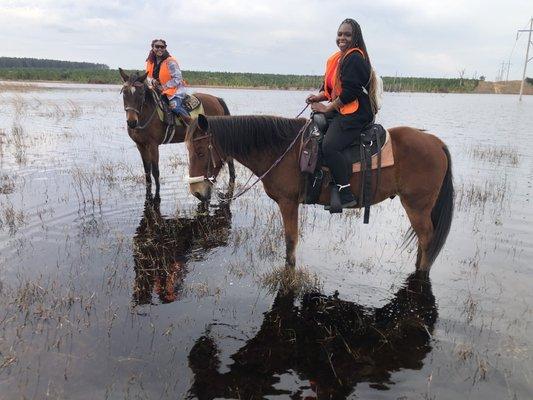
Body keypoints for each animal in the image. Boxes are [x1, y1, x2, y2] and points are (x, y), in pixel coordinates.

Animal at [118, 69, 235, 200]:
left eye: (141, 93)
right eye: (124, 93)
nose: (132, 122)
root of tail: (217, 99)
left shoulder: (153, 145)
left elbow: (155, 171)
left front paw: (157, 194)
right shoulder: (140, 145)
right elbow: (147, 171)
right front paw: (148, 194)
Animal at [184, 114, 454, 274]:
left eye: (200, 152)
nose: (197, 192)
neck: (281, 150)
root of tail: (437, 143)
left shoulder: (288, 203)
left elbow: (290, 241)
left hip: (416, 206)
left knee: (427, 239)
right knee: (423, 241)